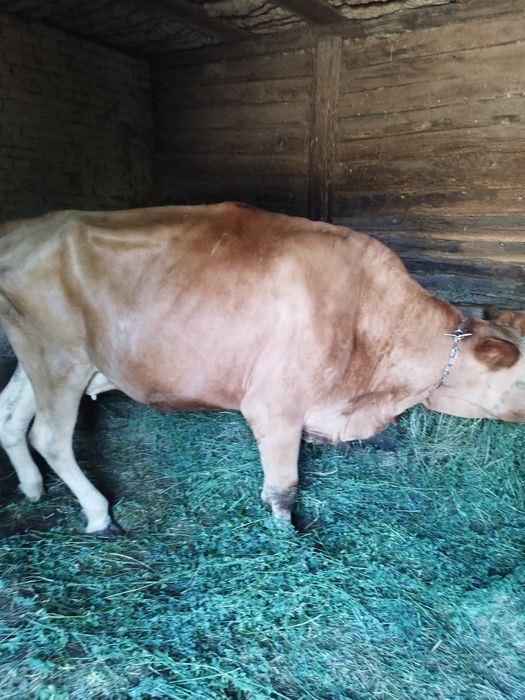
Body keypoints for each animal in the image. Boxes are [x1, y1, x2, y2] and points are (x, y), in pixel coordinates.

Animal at [0, 202, 523, 536]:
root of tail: (25, 226)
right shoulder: (275, 406)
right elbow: (283, 490)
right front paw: (288, 539)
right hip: (60, 355)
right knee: (50, 436)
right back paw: (99, 516)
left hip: (38, 355)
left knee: (11, 415)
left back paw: (32, 489)